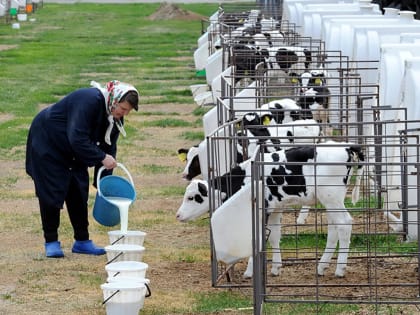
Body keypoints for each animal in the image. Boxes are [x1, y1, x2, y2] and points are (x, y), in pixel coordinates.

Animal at [176, 143, 364, 278]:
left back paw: (340, 269)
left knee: (345, 224)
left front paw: (249, 272)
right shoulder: (275, 209)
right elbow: (274, 236)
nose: (178, 215)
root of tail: (345, 147)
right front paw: (275, 267)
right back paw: (322, 266)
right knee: (333, 229)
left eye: (192, 197)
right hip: (332, 199)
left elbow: (256, 238)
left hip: (331, 197)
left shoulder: (261, 210)